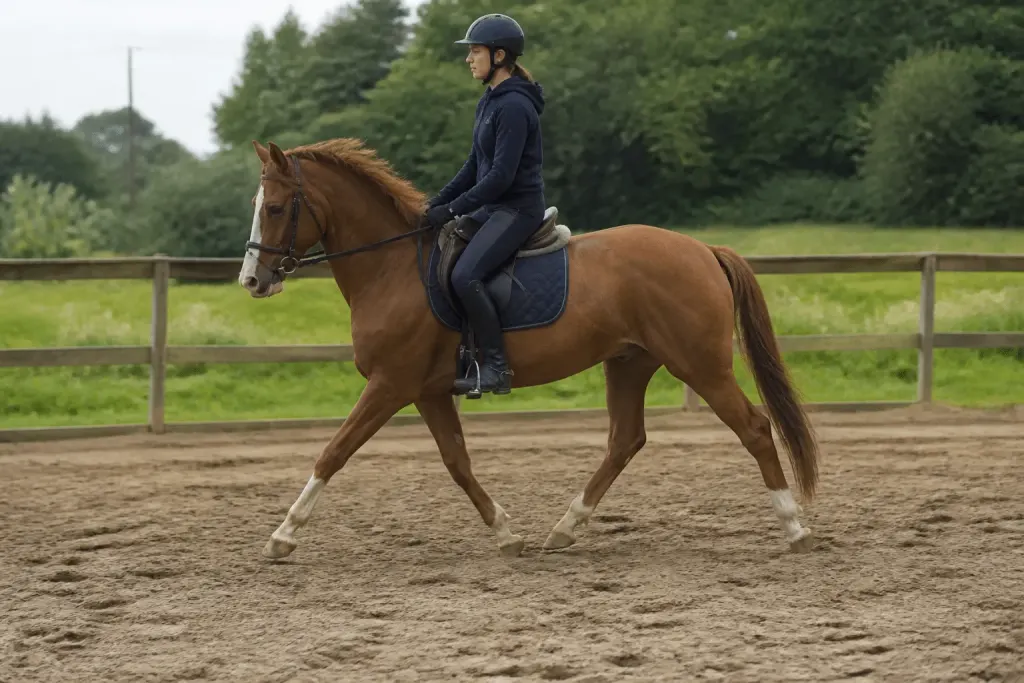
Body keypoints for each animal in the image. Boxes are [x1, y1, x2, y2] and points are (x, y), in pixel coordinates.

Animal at [239, 138, 820, 560]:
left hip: (699, 364)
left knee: (753, 427)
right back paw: (564, 528)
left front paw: (283, 534)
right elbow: (457, 462)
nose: (252, 280)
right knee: (624, 440)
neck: (393, 269)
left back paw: (793, 527)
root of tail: (702, 249)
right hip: (630, 362)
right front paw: (505, 533)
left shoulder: (390, 384)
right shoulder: (427, 391)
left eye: (275, 208)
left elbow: (334, 451)